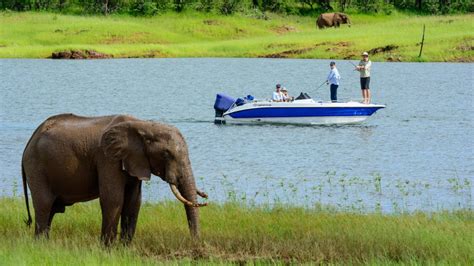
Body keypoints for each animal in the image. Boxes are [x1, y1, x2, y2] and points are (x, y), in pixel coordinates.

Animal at [21, 113, 207, 244]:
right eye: (166, 155)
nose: (196, 244)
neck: (143, 125)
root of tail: (29, 142)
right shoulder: (107, 158)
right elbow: (113, 199)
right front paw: (107, 249)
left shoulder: (134, 160)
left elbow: (133, 202)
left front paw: (125, 248)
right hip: (37, 166)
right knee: (44, 205)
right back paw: (40, 245)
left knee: (52, 208)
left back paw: (45, 243)